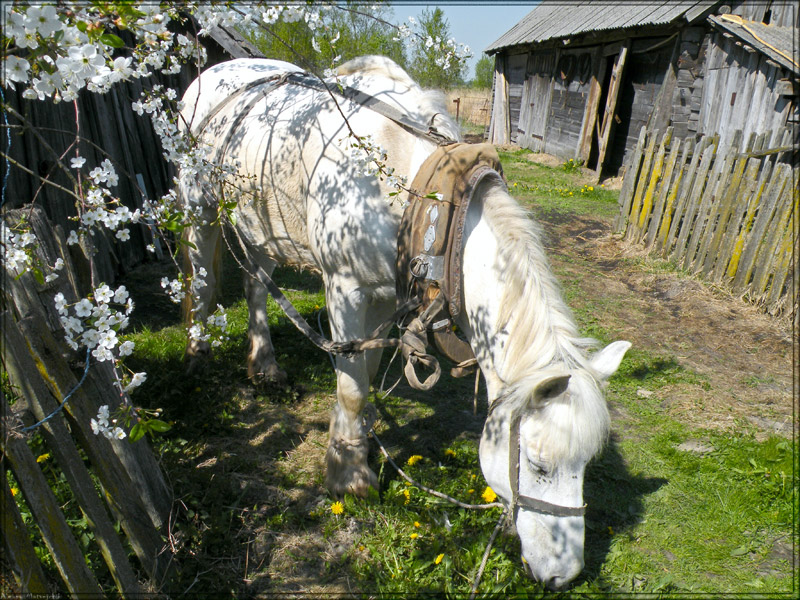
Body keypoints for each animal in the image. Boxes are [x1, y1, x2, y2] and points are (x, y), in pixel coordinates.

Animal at [177, 56, 632, 592]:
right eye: (538, 465)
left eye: (587, 464)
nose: (565, 575)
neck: (417, 193)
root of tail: (219, 69)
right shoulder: (346, 287)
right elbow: (352, 385)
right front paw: (349, 474)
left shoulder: (385, 295)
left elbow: (367, 372)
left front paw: (355, 441)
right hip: (199, 207)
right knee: (203, 280)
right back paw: (198, 354)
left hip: (262, 222)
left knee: (255, 282)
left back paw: (263, 364)